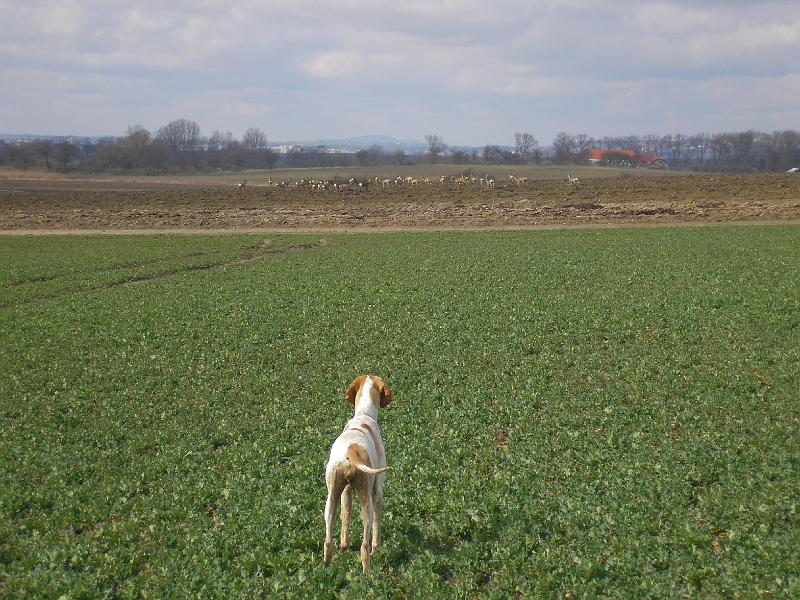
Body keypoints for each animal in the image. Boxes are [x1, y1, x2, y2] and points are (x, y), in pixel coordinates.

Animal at [322, 372, 390, 576]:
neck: (363, 415)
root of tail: (351, 450)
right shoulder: (377, 491)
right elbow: (377, 526)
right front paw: (377, 548)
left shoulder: (346, 492)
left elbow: (345, 519)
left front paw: (345, 547)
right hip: (366, 499)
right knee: (365, 544)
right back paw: (367, 572)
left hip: (331, 498)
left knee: (328, 539)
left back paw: (327, 566)